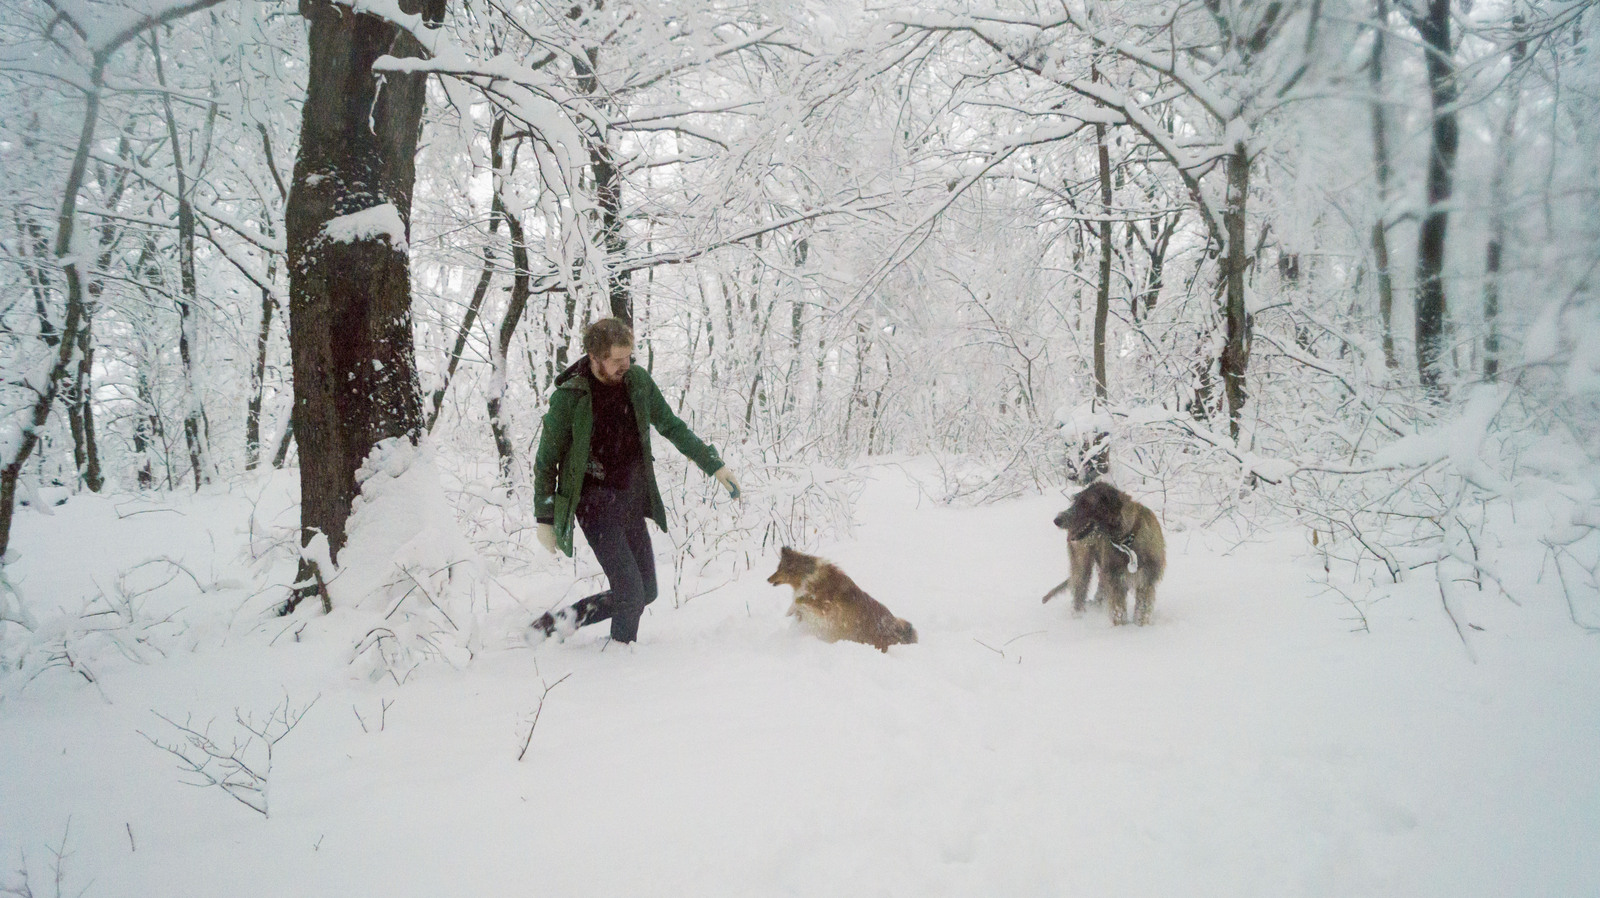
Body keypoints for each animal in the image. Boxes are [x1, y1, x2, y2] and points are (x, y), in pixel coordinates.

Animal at [768, 547, 921, 649]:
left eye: (779, 568)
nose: (767, 579)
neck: (807, 575)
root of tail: (896, 627)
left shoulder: (824, 606)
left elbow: (800, 600)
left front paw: (792, 608)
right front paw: (791, 611)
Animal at [1043, 483, 1171, 624]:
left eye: (1085, 504)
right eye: (1075, 501)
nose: (1057, 520)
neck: (1127, 541)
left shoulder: (1146, 582)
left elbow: (1142, 610)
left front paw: (1140, 625)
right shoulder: (1116, 583)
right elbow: (1118, 611)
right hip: (1083, 563)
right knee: (1079, 588)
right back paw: (1078, 616)